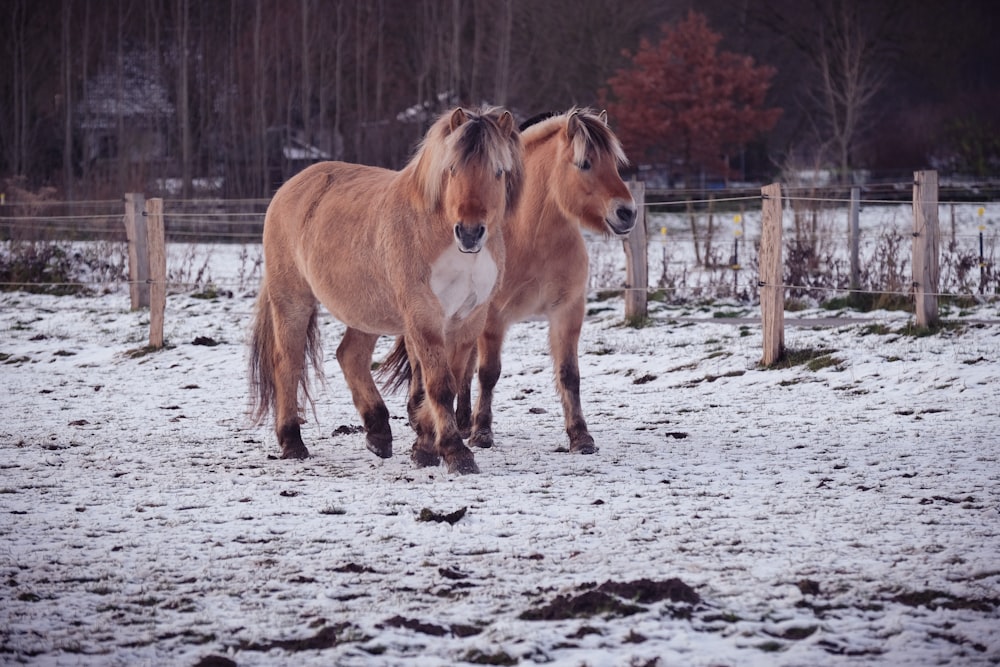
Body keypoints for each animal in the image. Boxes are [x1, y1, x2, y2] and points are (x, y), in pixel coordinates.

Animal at [250, 107, 524, 474]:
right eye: (451, 169)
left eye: (498, 171)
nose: (469, 233)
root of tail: (290, 187)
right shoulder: (424, 316)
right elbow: (439, 386)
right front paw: (455, 453)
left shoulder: (467, 321)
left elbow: (445, 384)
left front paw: (426, 448)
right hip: (292, 300)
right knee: (288, 363)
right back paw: (293, 442)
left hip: (365, 312)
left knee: (350, 356)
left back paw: (378, 433)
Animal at [382, 109, 632, 456]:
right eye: (584, 163)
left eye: (615, 163)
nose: (627, 213)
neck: (533, 238)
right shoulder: (493, 318)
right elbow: (488, 374)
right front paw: (482, 433)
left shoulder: (567, 311)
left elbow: (569, 374)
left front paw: (581, 436)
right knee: (424, 362)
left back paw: (460, 420)